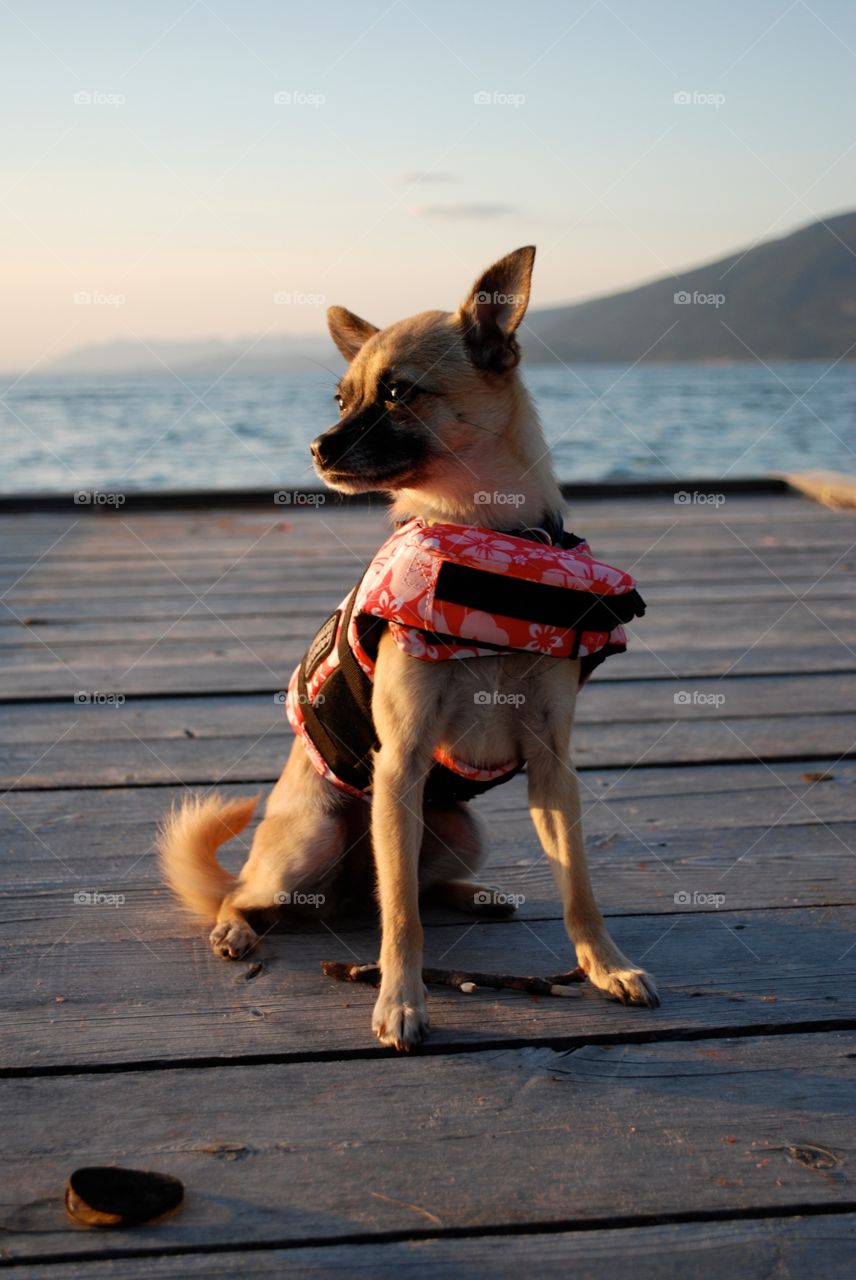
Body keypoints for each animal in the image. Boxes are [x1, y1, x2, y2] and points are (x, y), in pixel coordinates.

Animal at [156, 244, 660, 1044]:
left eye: (398, 394)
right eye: (341, 401)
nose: (316, 446)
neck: (484, 533)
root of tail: (337, 892)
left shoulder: (554, 769)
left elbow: (577, 883)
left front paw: (606, 965)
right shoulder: (402, 765)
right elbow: (402, 922)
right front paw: (400, 998)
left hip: (460, 827)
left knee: (405, 887)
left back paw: (474, 894)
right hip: (316, 839)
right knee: (268, 895)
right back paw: (236, 928)